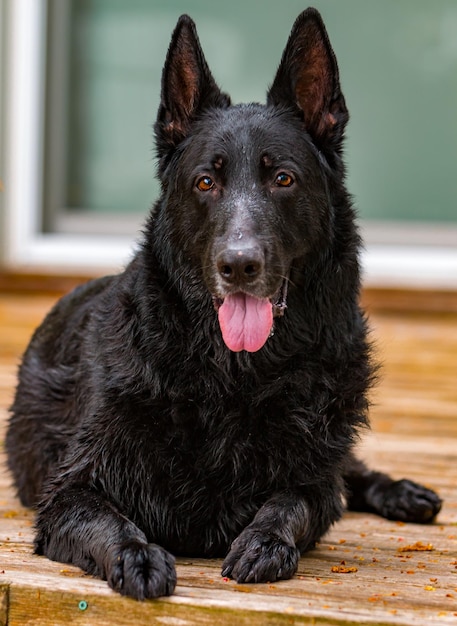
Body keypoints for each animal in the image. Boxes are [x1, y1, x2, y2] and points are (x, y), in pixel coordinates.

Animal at [5, 7, 440, 596]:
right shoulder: (70, 491)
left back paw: (399, 491)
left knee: (348, 469)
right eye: (205, 182)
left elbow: (294, 500)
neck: (232, 375)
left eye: (283, 178)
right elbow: (107, 518)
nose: (238, 266)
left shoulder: (313, 483)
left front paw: (265, 540)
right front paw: (138, 555)